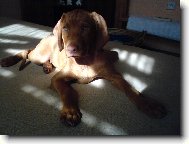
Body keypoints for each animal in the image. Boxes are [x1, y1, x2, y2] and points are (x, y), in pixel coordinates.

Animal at [0, 9, 166, 126]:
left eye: (85, 27)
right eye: (65, 28)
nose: (70, 50)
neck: (85, 60)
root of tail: (48, 35)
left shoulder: (115, 76)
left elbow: (130, 88)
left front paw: (148, 104)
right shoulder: (58, 79)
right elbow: (68, 92)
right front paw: (70, 112)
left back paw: (47, 66)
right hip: (39, 54)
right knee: (27, 52)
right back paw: (8, 60)